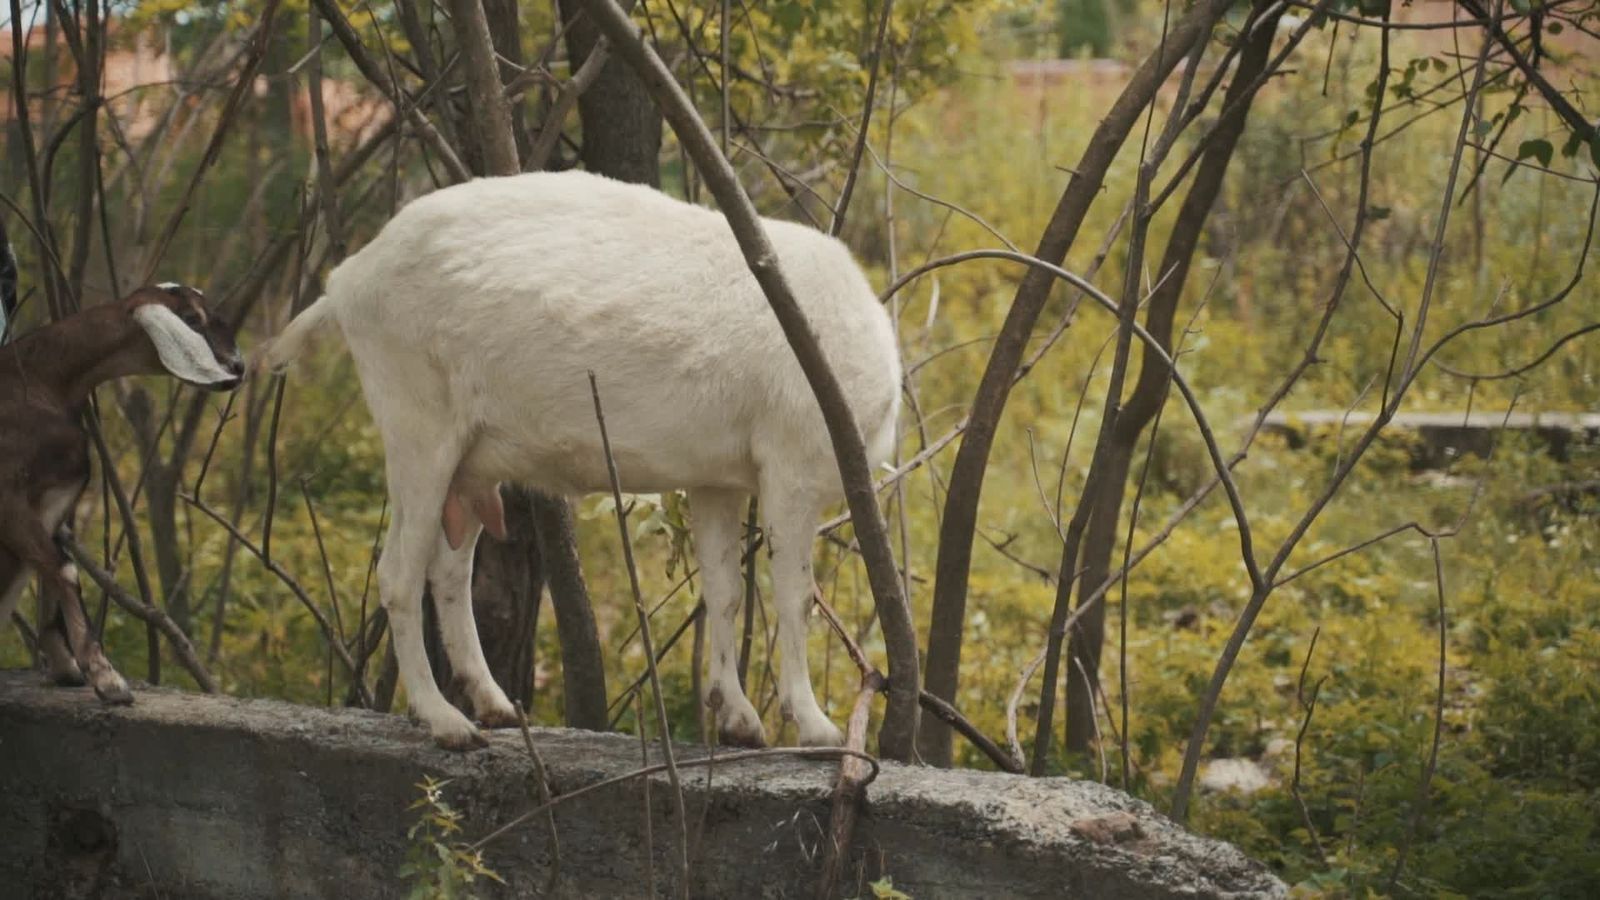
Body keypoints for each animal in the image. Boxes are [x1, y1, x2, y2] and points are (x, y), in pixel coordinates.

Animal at [0, 282, 244, 703]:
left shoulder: (52, 507)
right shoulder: (10, 501)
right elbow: (64, 569)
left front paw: (67, 668)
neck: (40, 381)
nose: (238, 365)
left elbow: (51, 571)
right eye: (192, 318)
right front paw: (107, 679)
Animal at [260, 170, 901, 751]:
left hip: (470, 462)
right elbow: (795, 595)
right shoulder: (795, 466)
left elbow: (723, 590)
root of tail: (345, 283)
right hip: (416, 420)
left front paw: (738, 720)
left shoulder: (716, 480)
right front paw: (817, 727)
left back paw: (495, 707)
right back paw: (447, 723)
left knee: (449, 571)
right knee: (397, 572)